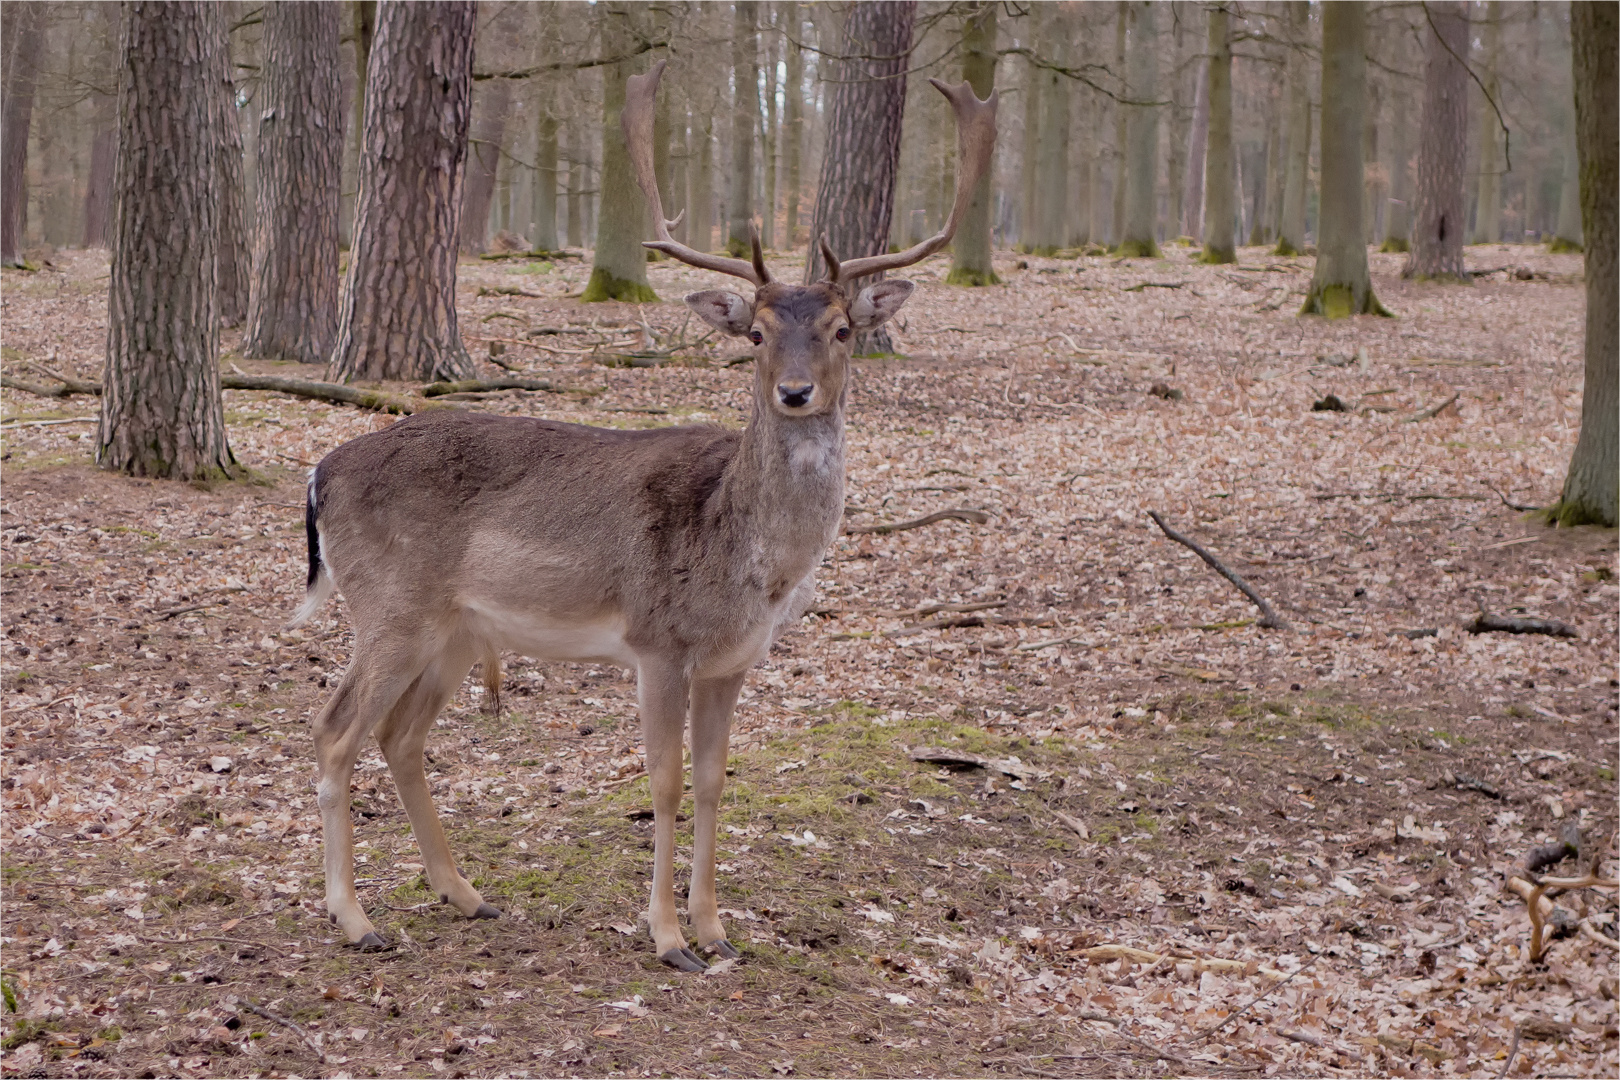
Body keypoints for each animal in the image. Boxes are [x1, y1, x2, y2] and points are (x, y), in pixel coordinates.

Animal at [296, 59, 991, 971]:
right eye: (757, 333)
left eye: (843, 329)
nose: (795, 392)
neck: (753, 565)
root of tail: (321, 472)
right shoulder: (657, 642)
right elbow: (661, 780)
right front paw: (667, 938)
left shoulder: (732, 661)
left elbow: (714, 779)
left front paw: (717, 929)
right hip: (390, 604)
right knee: (335, 730)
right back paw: (355, 918)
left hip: (454, 631)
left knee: (400, 737)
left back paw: (467, 894)